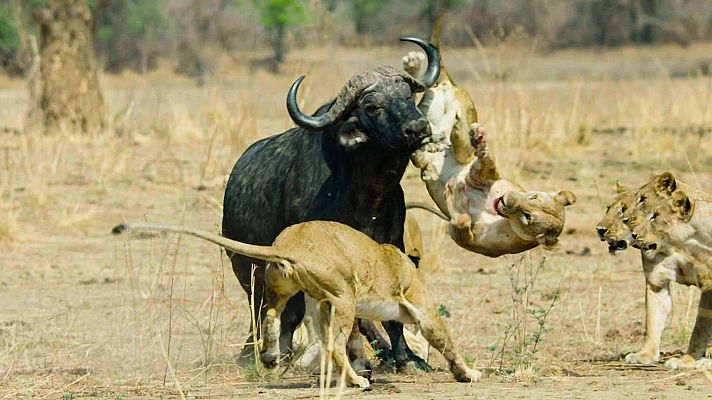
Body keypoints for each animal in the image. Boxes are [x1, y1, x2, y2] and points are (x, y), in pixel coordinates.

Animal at [224, 37, 440, 372]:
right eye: (372, 106)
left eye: (408, 95)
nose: (417, 127)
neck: (366, 195)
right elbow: (298, 311)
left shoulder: (392, 246)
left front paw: (407, 358)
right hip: (245, 265)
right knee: (260, 307)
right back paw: (258, 354)